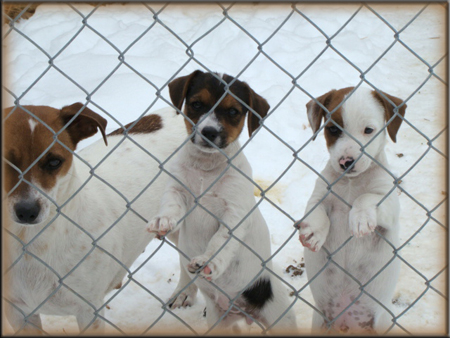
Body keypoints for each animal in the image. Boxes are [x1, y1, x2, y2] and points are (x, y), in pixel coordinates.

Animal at [298, 86, 406, 334]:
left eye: (368, 130)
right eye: (333, 129)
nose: (346, 162)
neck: (350, 183)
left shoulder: (389, 203)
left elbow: (366, 198)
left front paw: (360, 218)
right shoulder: (320, 193)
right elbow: (317, 211)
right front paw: (314, 232)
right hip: (319, 323)